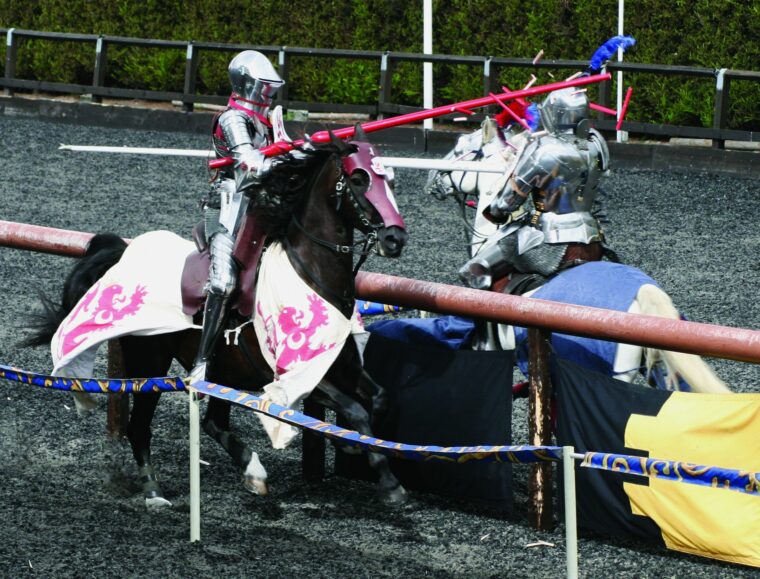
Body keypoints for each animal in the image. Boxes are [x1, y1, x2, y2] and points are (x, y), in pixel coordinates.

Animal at [26, 135, 410, 508]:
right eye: (359, 178)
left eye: (390, 179)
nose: (395, 238)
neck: (311, 276)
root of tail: (122, 254)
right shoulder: (297, 377)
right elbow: (356, 411)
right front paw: (389, 483)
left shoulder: (343, 367)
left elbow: (379, 399)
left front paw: (351, 445)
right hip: (151, 359)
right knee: (141, 426)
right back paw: (154, 490)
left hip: (221, 371)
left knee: (212, 422)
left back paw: (253, 472)